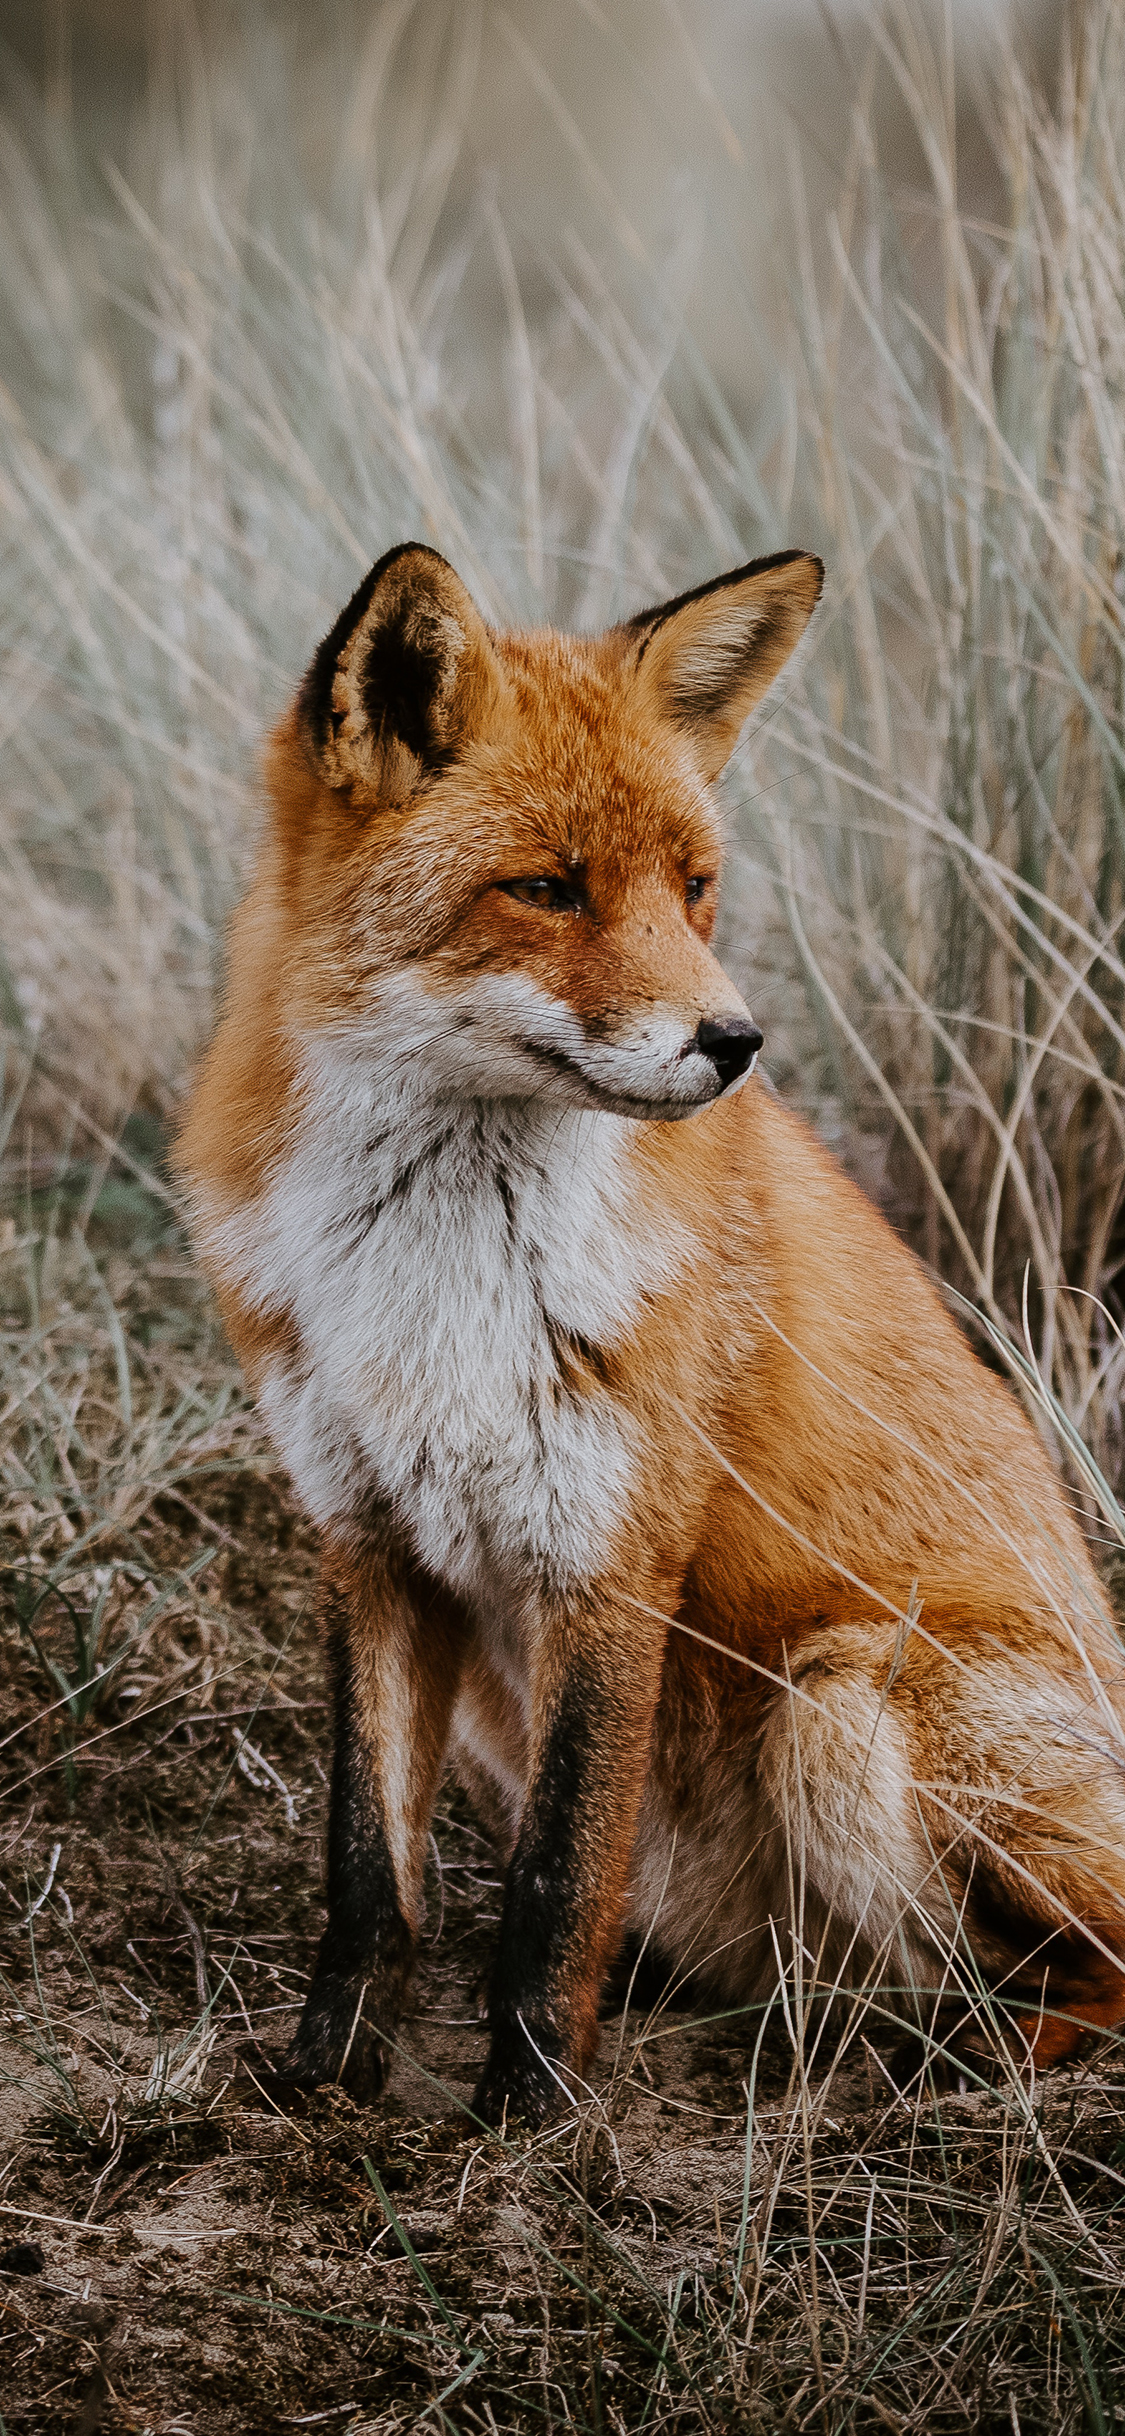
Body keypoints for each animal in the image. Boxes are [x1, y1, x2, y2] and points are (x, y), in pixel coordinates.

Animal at [180, 543, 1125, 2124]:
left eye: (693, 890)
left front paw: (531, 2125)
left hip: (841, 1703)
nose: (734, 1043)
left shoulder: (609, 1559)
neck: (437, 1278)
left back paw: (952, 2066)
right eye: (545, 890)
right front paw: (323, 2086)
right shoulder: (367, 1543)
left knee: (1081, 1976)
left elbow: (557, 1882)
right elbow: (371, 1878)